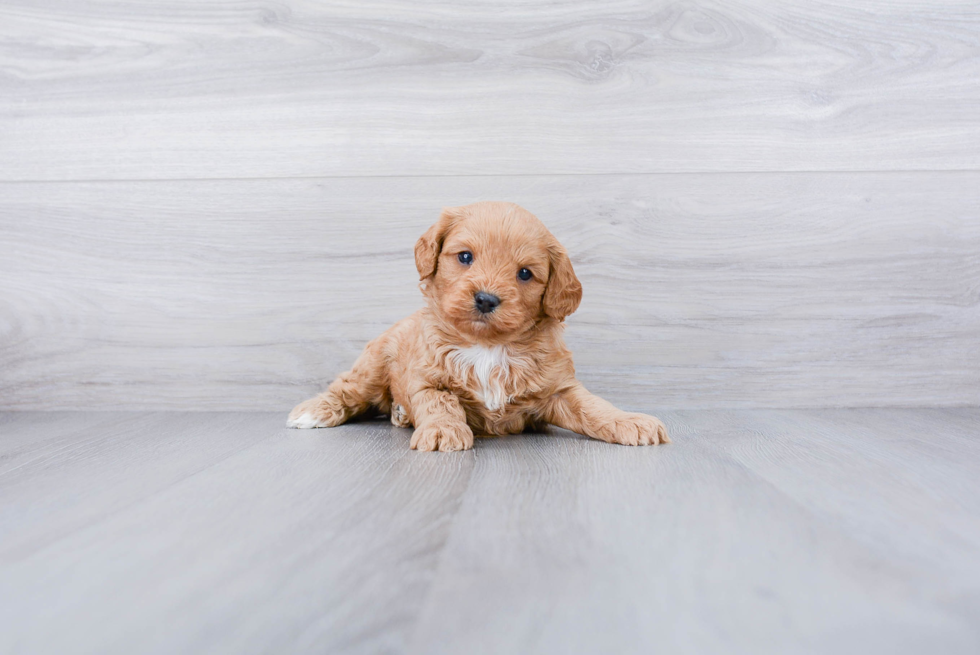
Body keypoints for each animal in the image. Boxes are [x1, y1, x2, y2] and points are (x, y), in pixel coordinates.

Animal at [284, 202, 668, 452]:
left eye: (524, 273)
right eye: (465, 257)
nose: (485, 299)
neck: (487, 346)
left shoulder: (559, 389)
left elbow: (594, 406)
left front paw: (630, 421)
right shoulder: (427, 379)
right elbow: (440, 402)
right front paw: (443, 431)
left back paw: (398, 413)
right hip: (374, 364)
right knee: (346, 389)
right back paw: (313, 411)